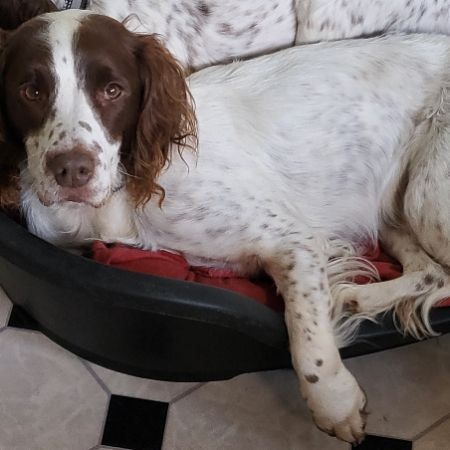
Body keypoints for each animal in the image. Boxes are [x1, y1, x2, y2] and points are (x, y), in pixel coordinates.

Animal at [2, 10, 450, 443]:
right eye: (31, 91)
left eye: (113, 90)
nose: (71, 171)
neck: (123, 190)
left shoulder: (292, 240)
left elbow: (306, 339)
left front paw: (335, 403)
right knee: (431, 272)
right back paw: (358, 298)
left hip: (426, 201)